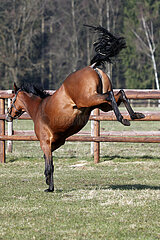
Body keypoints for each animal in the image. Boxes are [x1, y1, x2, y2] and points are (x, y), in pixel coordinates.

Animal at [6, 25, 144, 192]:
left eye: (12, 99)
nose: (8, 116)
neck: (38, 108)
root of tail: (92, 67)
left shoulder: (45, 143)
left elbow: (49, 165)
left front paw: (49, 187)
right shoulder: (55, 143)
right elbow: (48, 162)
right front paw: (48, 182)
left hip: (90, 99)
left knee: (110, 95)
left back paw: (123, 119)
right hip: (101, 105)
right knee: (120, 94)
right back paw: (135, 115)